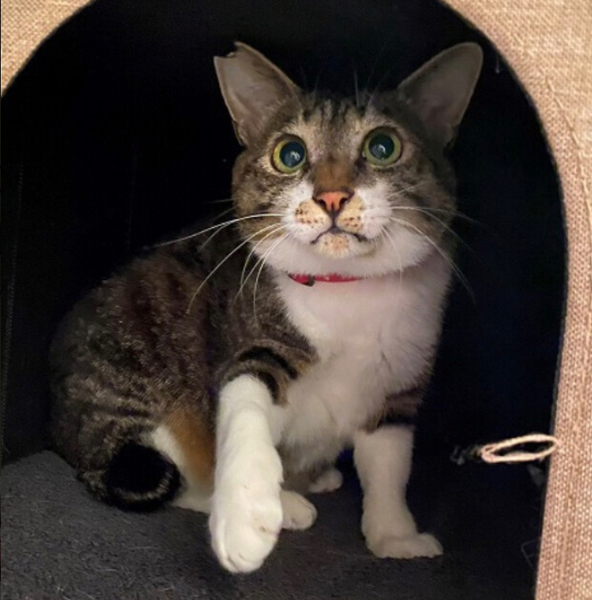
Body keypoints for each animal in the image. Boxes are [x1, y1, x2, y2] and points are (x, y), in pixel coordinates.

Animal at [50, 41, 483, 573]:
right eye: (290, 154)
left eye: (383, 146)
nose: (331, 196)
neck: (347, 291)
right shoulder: (260, 341)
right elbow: (246, 404)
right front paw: (246, 517)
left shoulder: (398, 386)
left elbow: (388, 466)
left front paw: (395, 537)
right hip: (137, 397)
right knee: (180, 479)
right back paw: (285, 504)